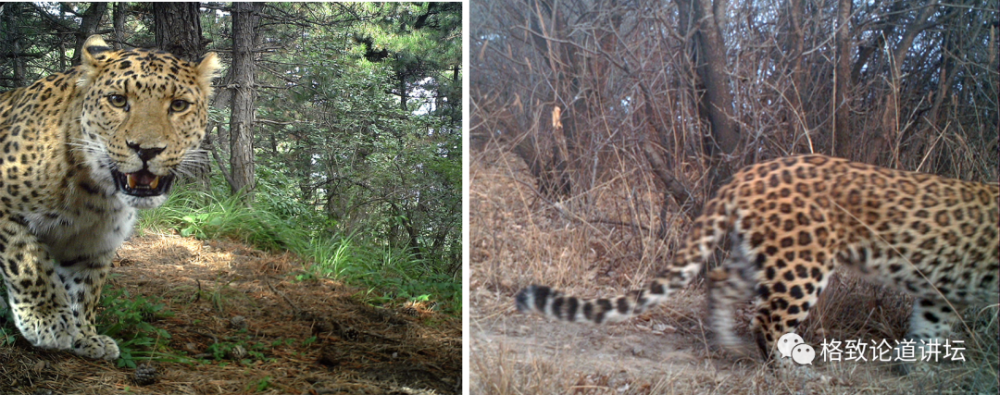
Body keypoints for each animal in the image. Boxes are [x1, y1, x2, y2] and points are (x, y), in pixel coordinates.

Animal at [0, 35, 219, 360]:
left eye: (179, 105)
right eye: (117, 100)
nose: (147, 150)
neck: (93, 194)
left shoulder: (93, 244)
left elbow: (85, 289)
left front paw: (85, 336)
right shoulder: (7, 213)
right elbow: (28, 262)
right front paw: (47, 319)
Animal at [520, 155, 996, 372]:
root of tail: (751, 171)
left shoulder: (941, 293)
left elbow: (928, 331)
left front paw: (912, 368)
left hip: (762, 257)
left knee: (719, 279)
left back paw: (727, 344)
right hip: (801, 264)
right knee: (768, 320)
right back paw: (791, 372)